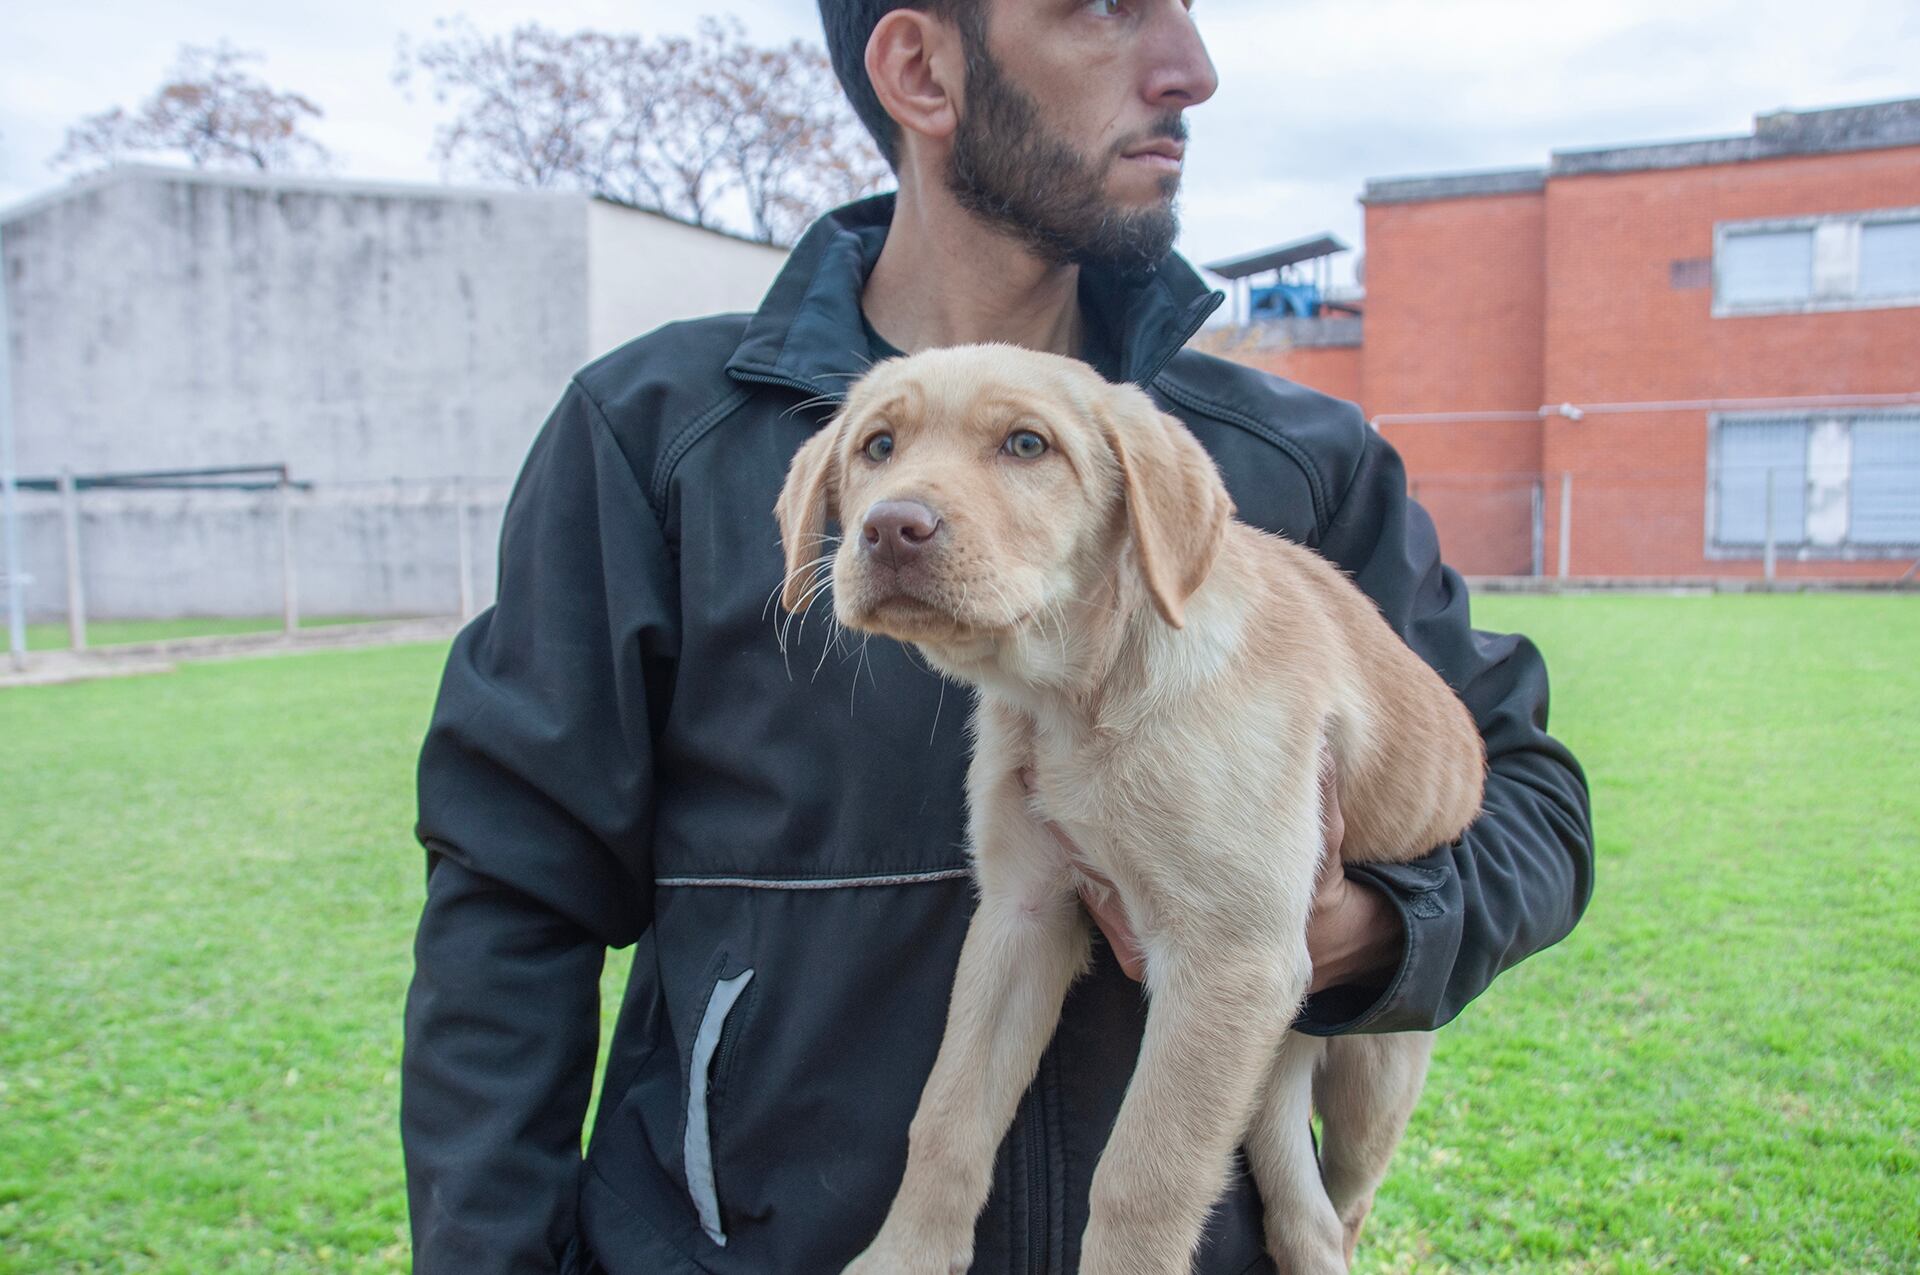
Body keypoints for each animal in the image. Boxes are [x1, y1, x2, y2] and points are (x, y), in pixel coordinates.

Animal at [768, 343, 1482, 1275]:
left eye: (1026, 444)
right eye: (877, 446)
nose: (889, 528)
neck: (1075, 698)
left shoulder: (1230, 955)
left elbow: (1144, 1179)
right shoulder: (1024, 912)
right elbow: (947, 1115)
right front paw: (906, 1256)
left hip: (1373, 1069)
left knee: (1349, 1200)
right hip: (1272, 1049)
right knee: (1304, 1203)